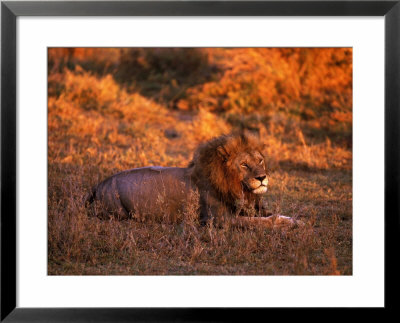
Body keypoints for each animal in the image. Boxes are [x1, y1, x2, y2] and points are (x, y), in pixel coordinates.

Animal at [87, 133, 300, 229]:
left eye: (260, 161)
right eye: (244, 165)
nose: (262, 178)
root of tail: (97, 186)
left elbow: (271, 214)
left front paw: (293, 219)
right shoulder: (220, 219)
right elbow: (263, 221)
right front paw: (289, 223)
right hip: (118, 212)